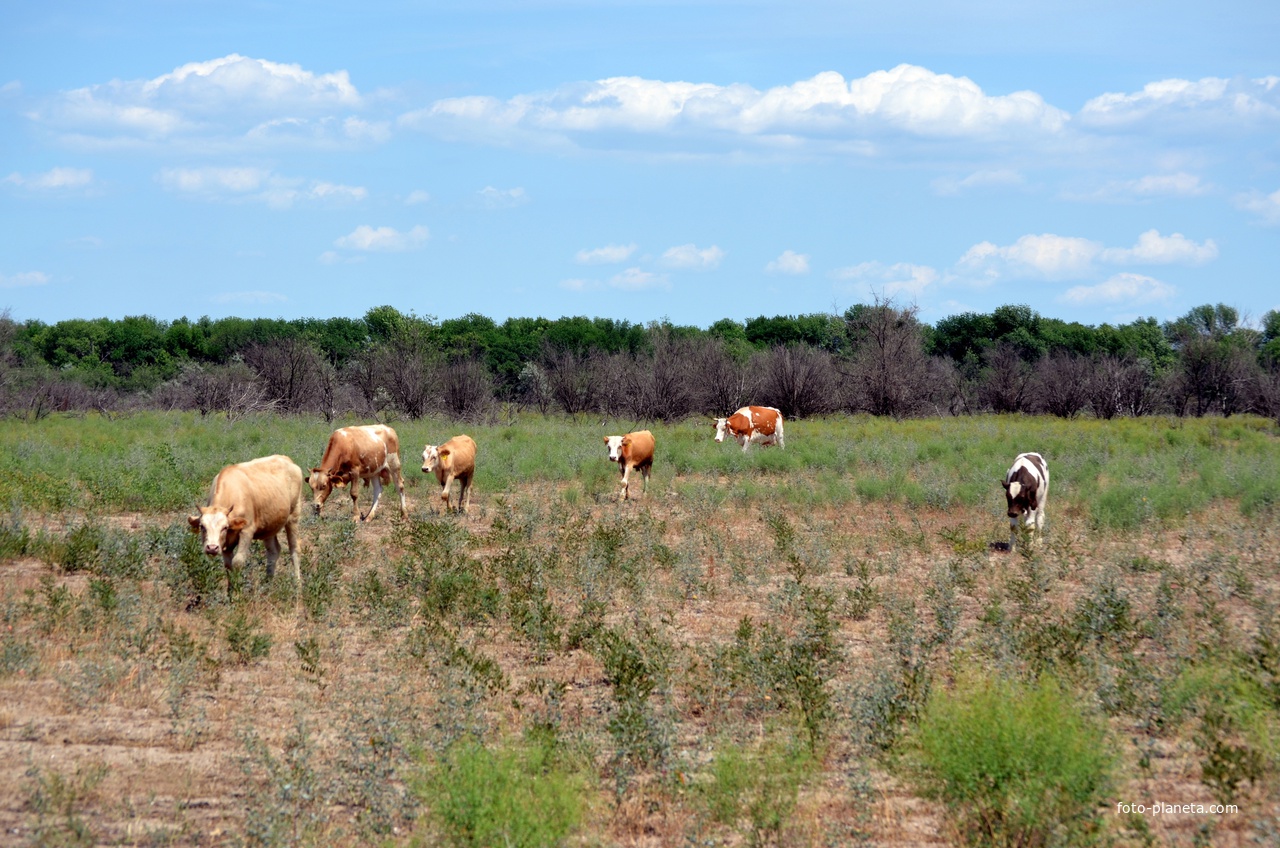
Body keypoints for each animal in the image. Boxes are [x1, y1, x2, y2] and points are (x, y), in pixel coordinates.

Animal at [186, 450, 304, 596]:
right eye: (202, 527)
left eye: (224, 527)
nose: (212, 548)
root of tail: (286, 459)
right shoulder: (226, 544)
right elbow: (228, 565)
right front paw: (230, 593)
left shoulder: (247, 531)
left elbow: (237, 562)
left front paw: (237, 594)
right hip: (269, 524)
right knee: (273, 551)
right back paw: (267, 584)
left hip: (293, 516)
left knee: (294, 549)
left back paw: (297, 586)